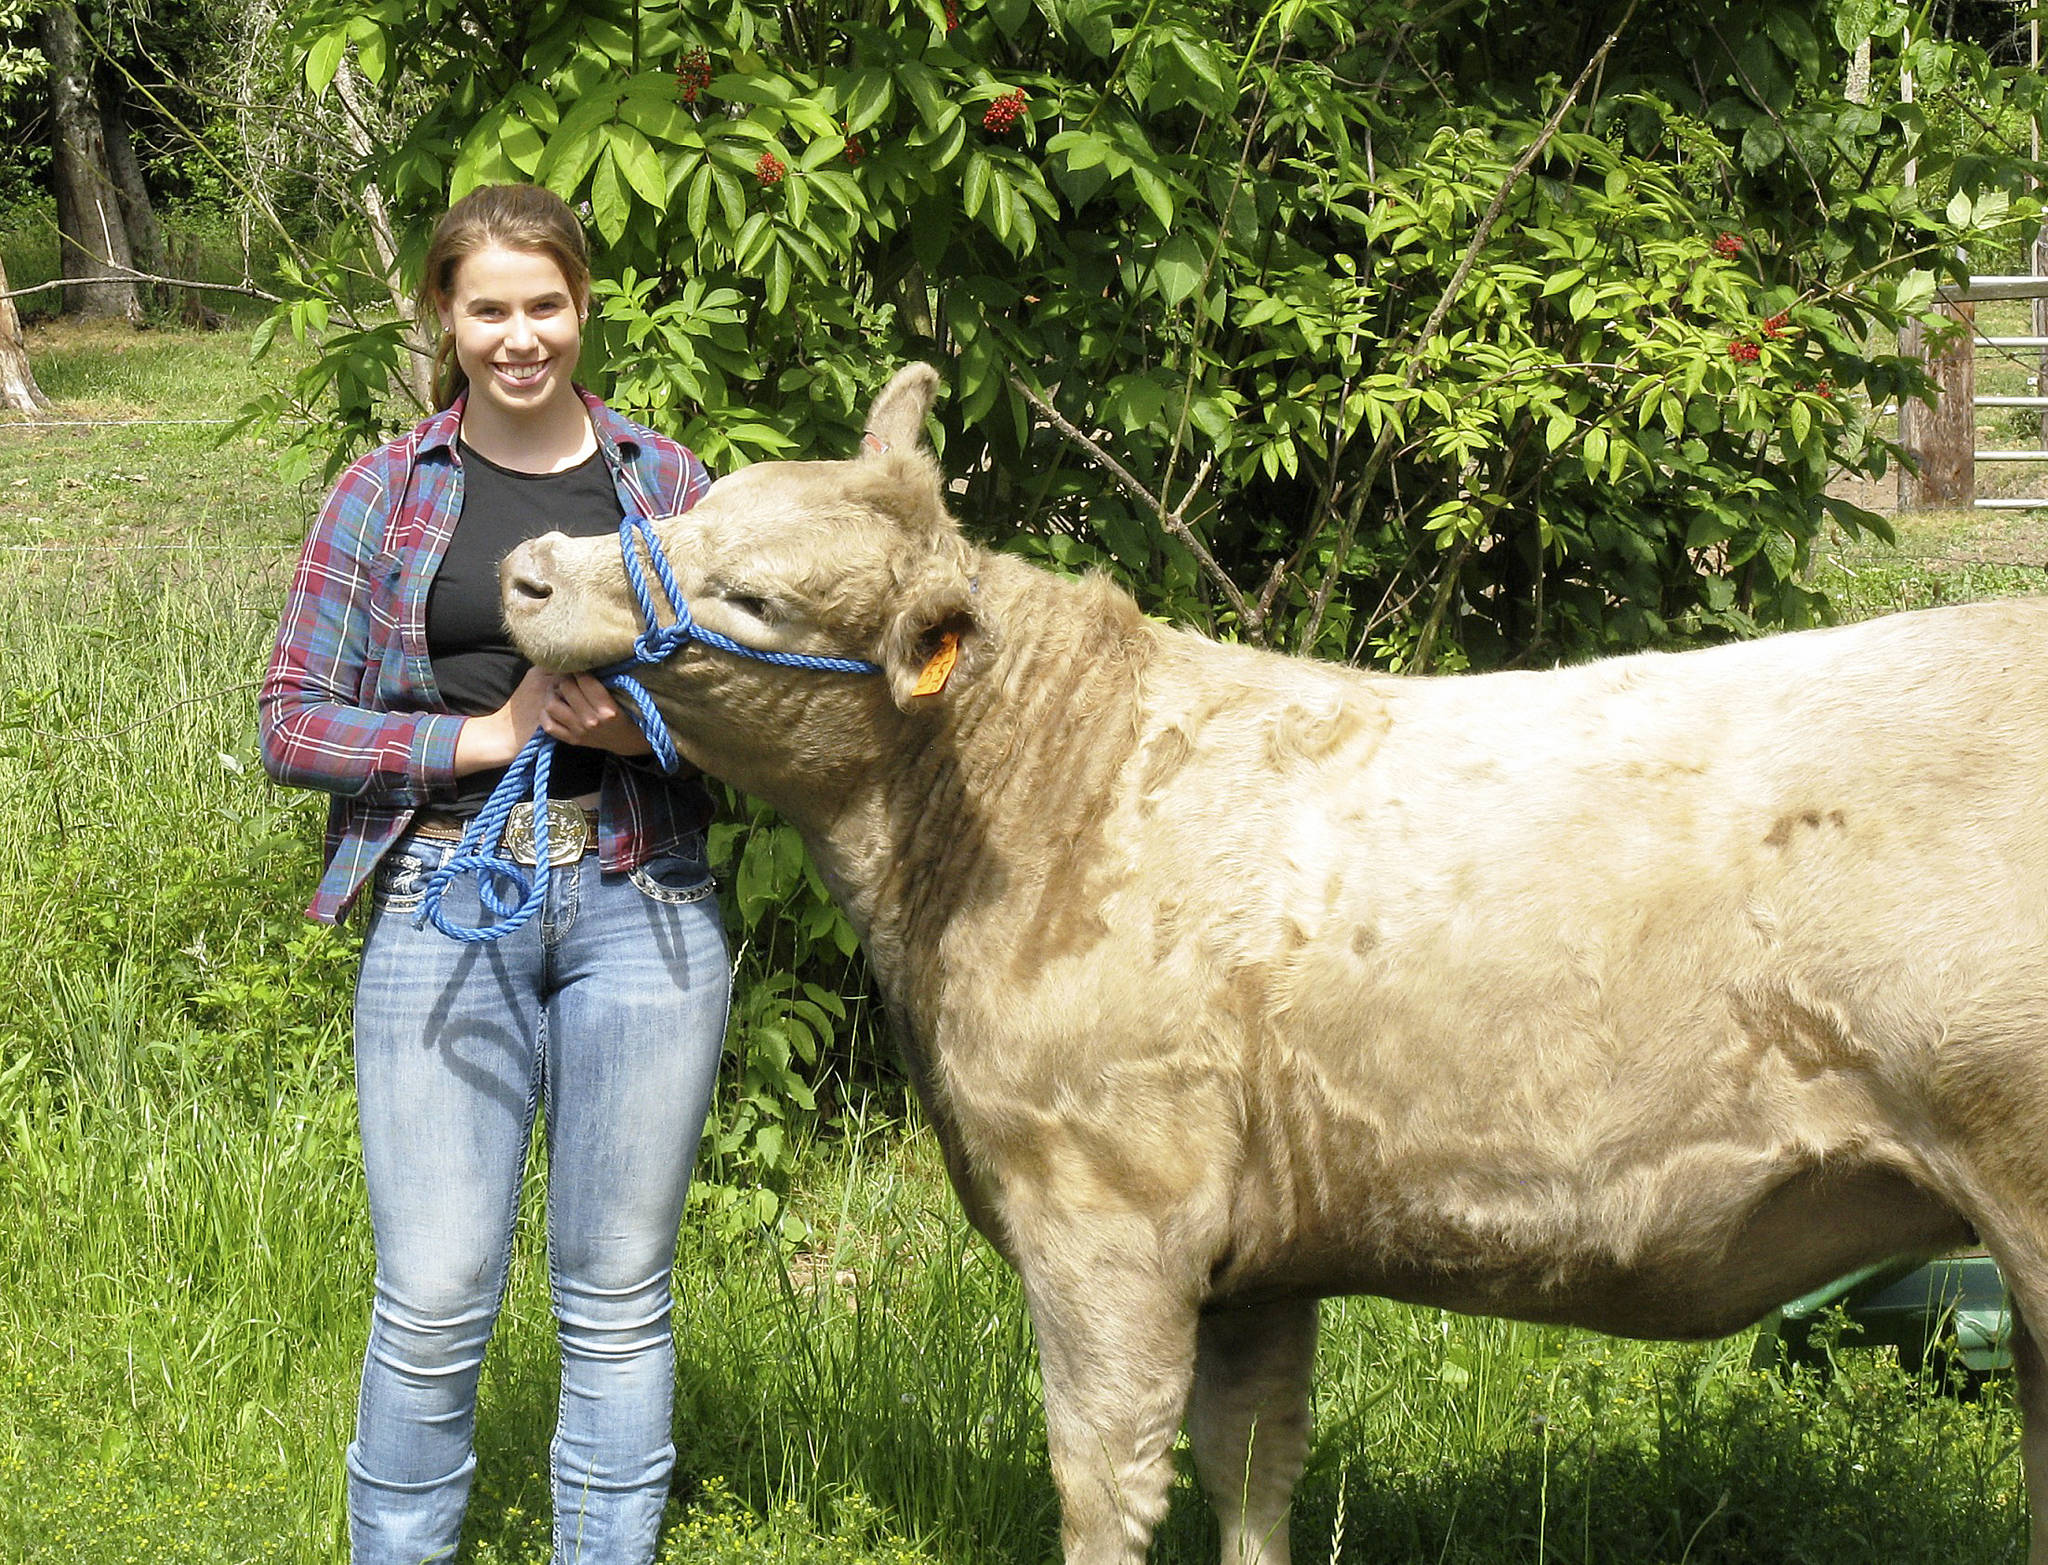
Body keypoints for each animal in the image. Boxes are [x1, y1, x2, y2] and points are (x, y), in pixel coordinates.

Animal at [499, 360, 2048, 1556]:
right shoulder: (1259, 1259)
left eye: (755, 598)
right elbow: (1253, 1462)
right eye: (699, 504)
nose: (529, 572)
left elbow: (1106, 1477)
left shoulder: (1106, 1209)